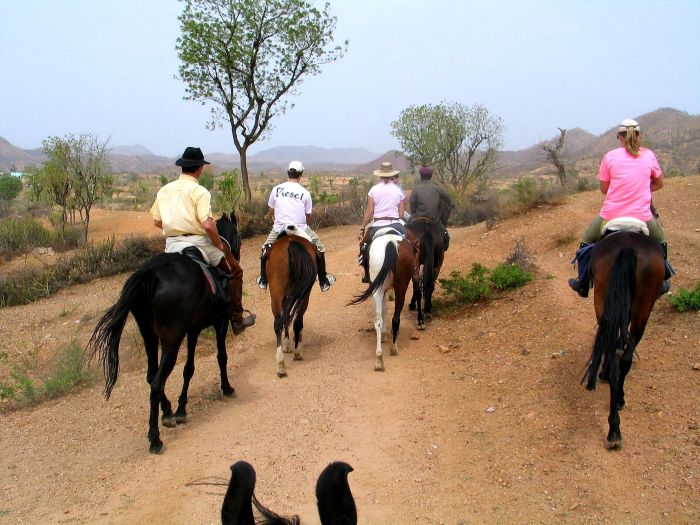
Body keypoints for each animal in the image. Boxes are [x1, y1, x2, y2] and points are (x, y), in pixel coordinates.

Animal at [89, 211, 242, 452]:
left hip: (149, 335)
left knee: (151, 376)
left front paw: (180, 409)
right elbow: (221, 357)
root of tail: (149, 273)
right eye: (238, 236)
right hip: (172, 338)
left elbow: (188, 369)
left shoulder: (193, 329)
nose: (235, 256)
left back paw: (168, 412)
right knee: (157, 382)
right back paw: (155, 438)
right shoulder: (220, 321)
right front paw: (226, 388)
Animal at [266, 233, 318, 376]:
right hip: (304, 294)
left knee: (279, 323)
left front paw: (287, 344)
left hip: (277, 293)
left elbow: (285, 317)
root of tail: (291, 243)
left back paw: (280, 364)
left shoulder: (285, 296)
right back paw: (297, 353)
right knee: (296, 321)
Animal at [348, 230, 416, 372]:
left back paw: (379, 359)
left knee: (379, 320)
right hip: (400, 286)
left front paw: (384, 334)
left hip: (380, 288)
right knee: (394, 318)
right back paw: (393, 348)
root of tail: (390, 242)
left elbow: (383, 311)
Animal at [584, 231, 664, 448]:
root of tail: (627, 247)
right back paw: (617, 409)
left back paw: (614, 428)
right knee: (621, 356)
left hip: (606, 300)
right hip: (640, 309)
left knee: (618, 359)